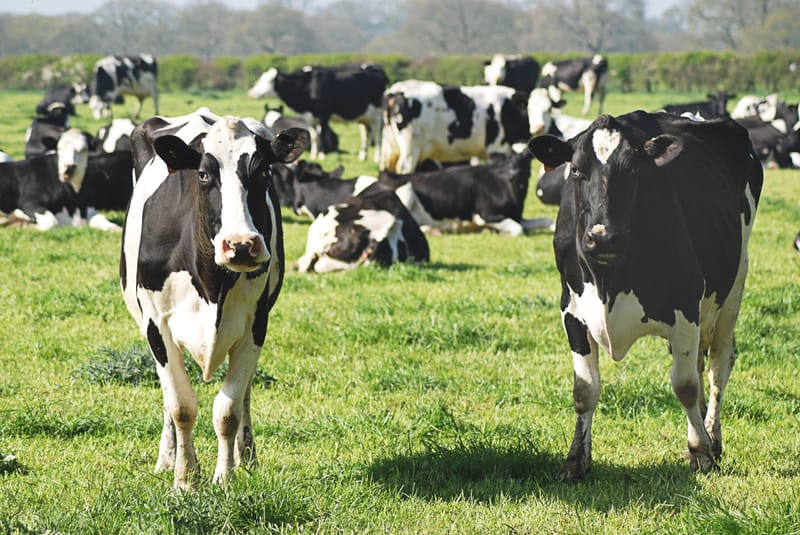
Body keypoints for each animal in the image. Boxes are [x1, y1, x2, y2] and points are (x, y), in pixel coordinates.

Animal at [120, 109, 308, 488]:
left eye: (263, 172)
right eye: (204, 174)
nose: (241, 244)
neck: (212, 284)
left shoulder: (255, 325)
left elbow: (227, 409)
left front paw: (224, 477)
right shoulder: (156, 325)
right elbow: (180, 405)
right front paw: (185, 479)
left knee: (245, 392)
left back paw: (246, 455)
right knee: (168, 399)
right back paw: (167, 458)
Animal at [248, 63, 387, 161]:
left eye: (269, 81)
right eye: (260, 79)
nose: (251, 93)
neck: (307, 84)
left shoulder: (324, 114)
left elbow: (322, 134)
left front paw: (322, 155)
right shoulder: (310, 117)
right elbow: (314, 136)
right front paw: (314, 155)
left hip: (378, 114)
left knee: (378, 134)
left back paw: (377, 158)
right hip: (364, 117)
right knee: (366, 134)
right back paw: (363, 156)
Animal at [378, 150, 552, 236]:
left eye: (524, 160)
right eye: (505, 162)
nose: (513, 173)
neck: (514, 195)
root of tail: (389, 174)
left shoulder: (518, 216)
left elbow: (547, 221)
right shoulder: (486, 214)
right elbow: (518, 229)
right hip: (406, 190)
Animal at [527, 110, 762, 481]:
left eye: (634, 169)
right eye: (576, 169)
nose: (602, 237)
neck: (608, 280)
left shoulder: (685, 306)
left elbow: (685, 386)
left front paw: (701, 453)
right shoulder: (572, 311)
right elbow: (584, 389)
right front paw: (576, 461)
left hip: (734, 284)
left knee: (718, 366)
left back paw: (713, 438)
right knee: (700, 364)